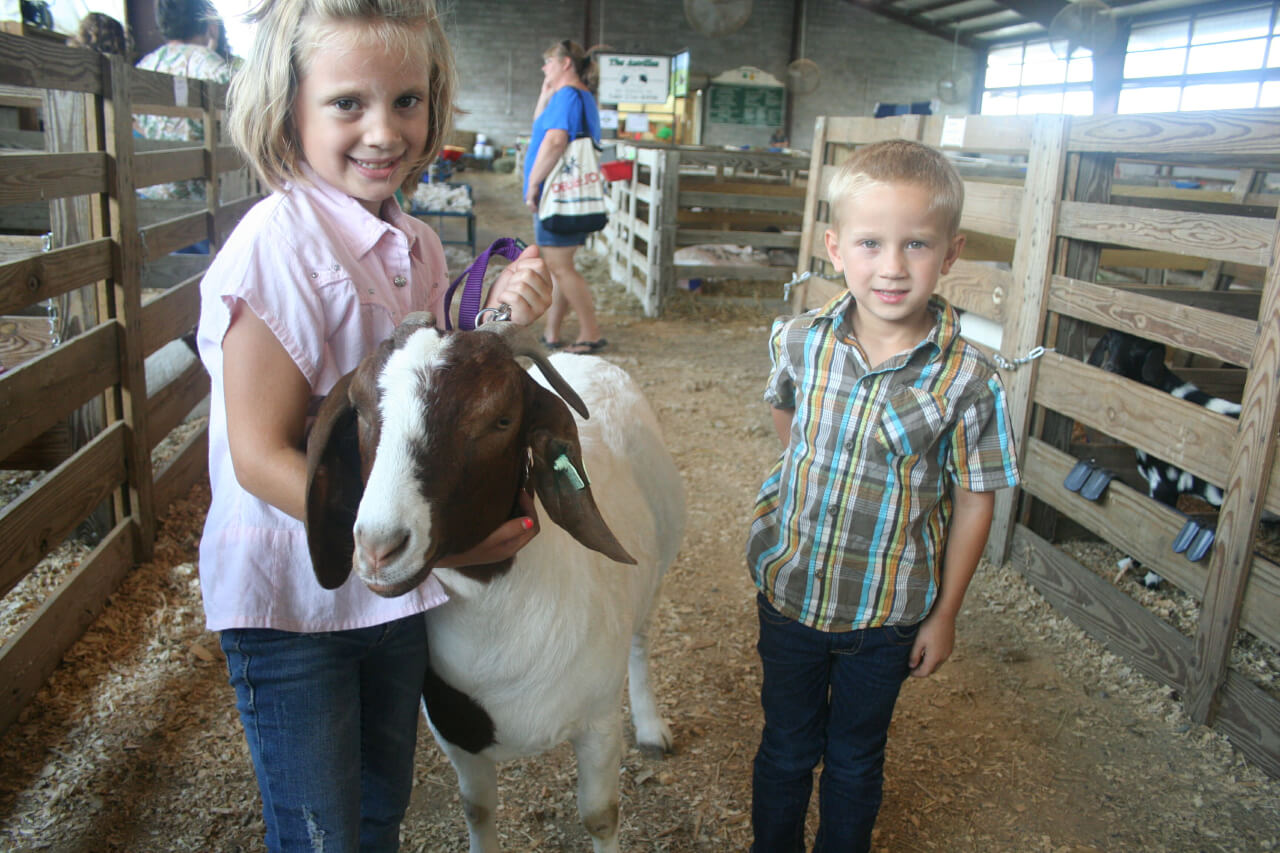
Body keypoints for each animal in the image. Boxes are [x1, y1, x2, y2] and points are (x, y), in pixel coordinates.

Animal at [304, 312, 686, 850]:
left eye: (501, 420)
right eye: (358, 408)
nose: (380, 548)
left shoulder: (598, 725)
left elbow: (600, 816)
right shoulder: (457, 733)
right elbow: (478, 810)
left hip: (658, 567)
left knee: (641, 638)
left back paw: (651, 727)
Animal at [1090, 330, 1239, 584]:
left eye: (1139, 349)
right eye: (1110, 342)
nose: (1110, 368)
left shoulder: (1164, 484)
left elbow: (1156, 530)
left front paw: (1150, 579)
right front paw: (1129, 562)